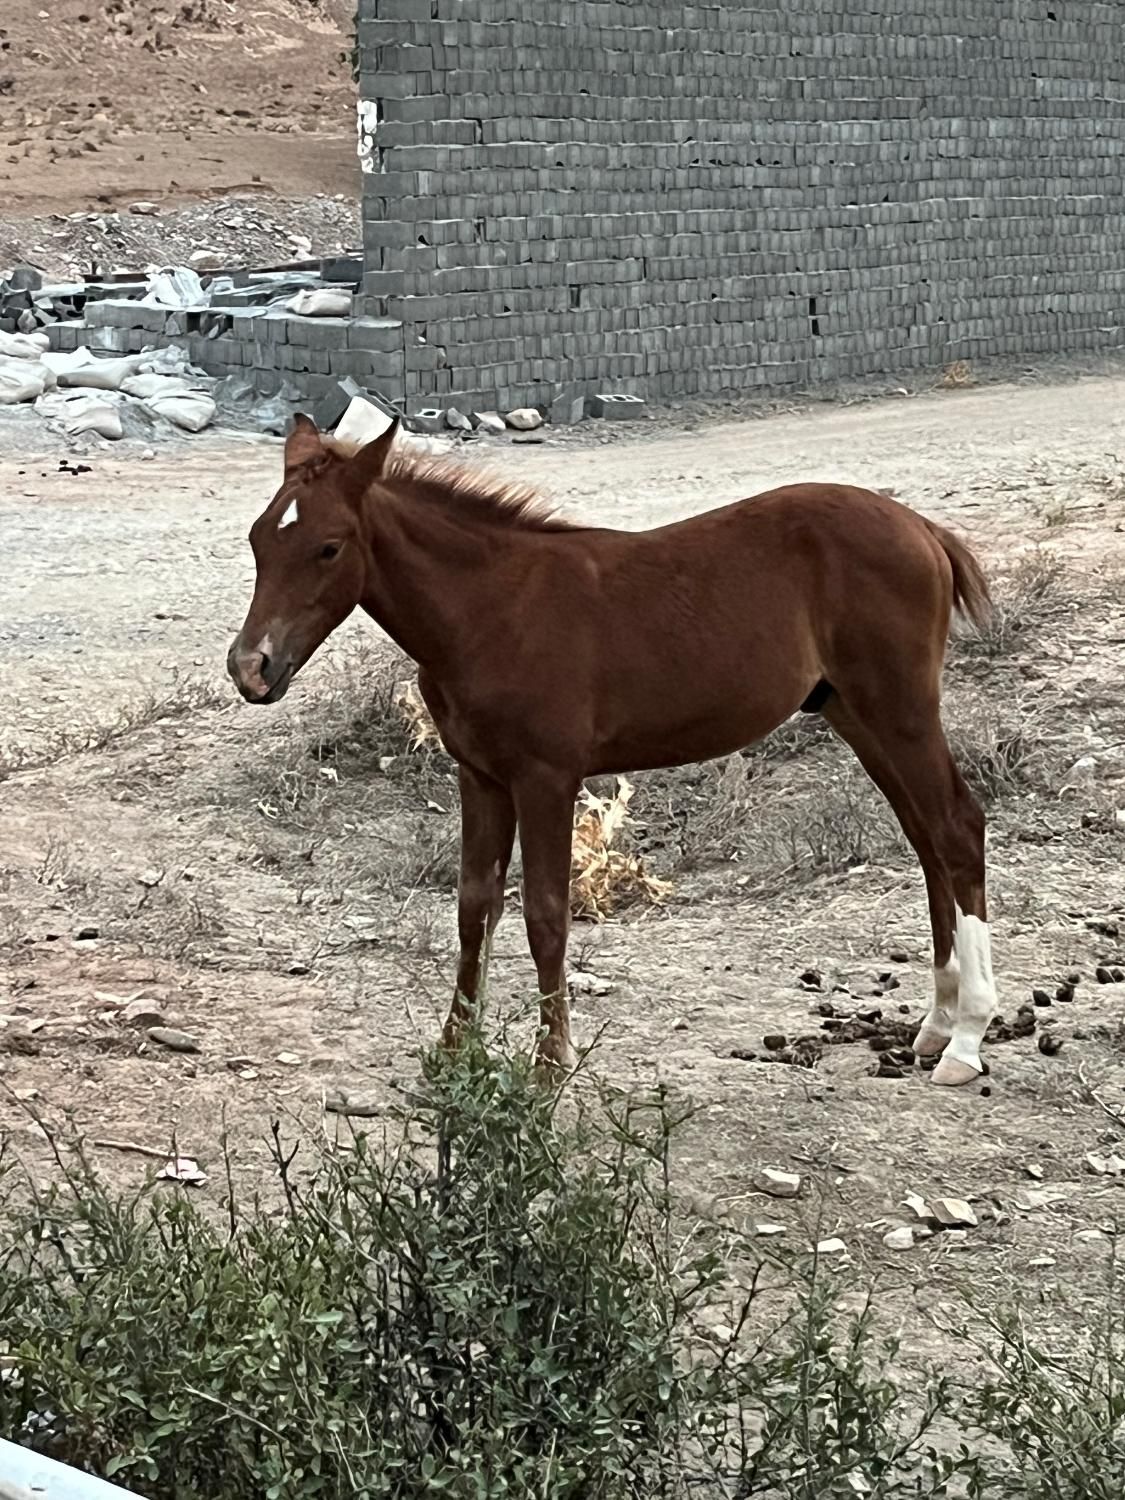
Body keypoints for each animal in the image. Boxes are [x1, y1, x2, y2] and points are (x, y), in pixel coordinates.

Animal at [226, 417, 996, 1086]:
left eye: (328, 546)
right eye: (260, 538)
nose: (250, 668)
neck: (490, 610)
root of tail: (923, 530)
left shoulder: (545, 777)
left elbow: (544, 914)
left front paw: (550, 1063)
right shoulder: (479, 776)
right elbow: (474, 906)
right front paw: (452, 1051)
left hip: (899, 710)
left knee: (956, 827)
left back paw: (966, 1038)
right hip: (856, 714)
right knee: (924, 835)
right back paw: (934, 1024)